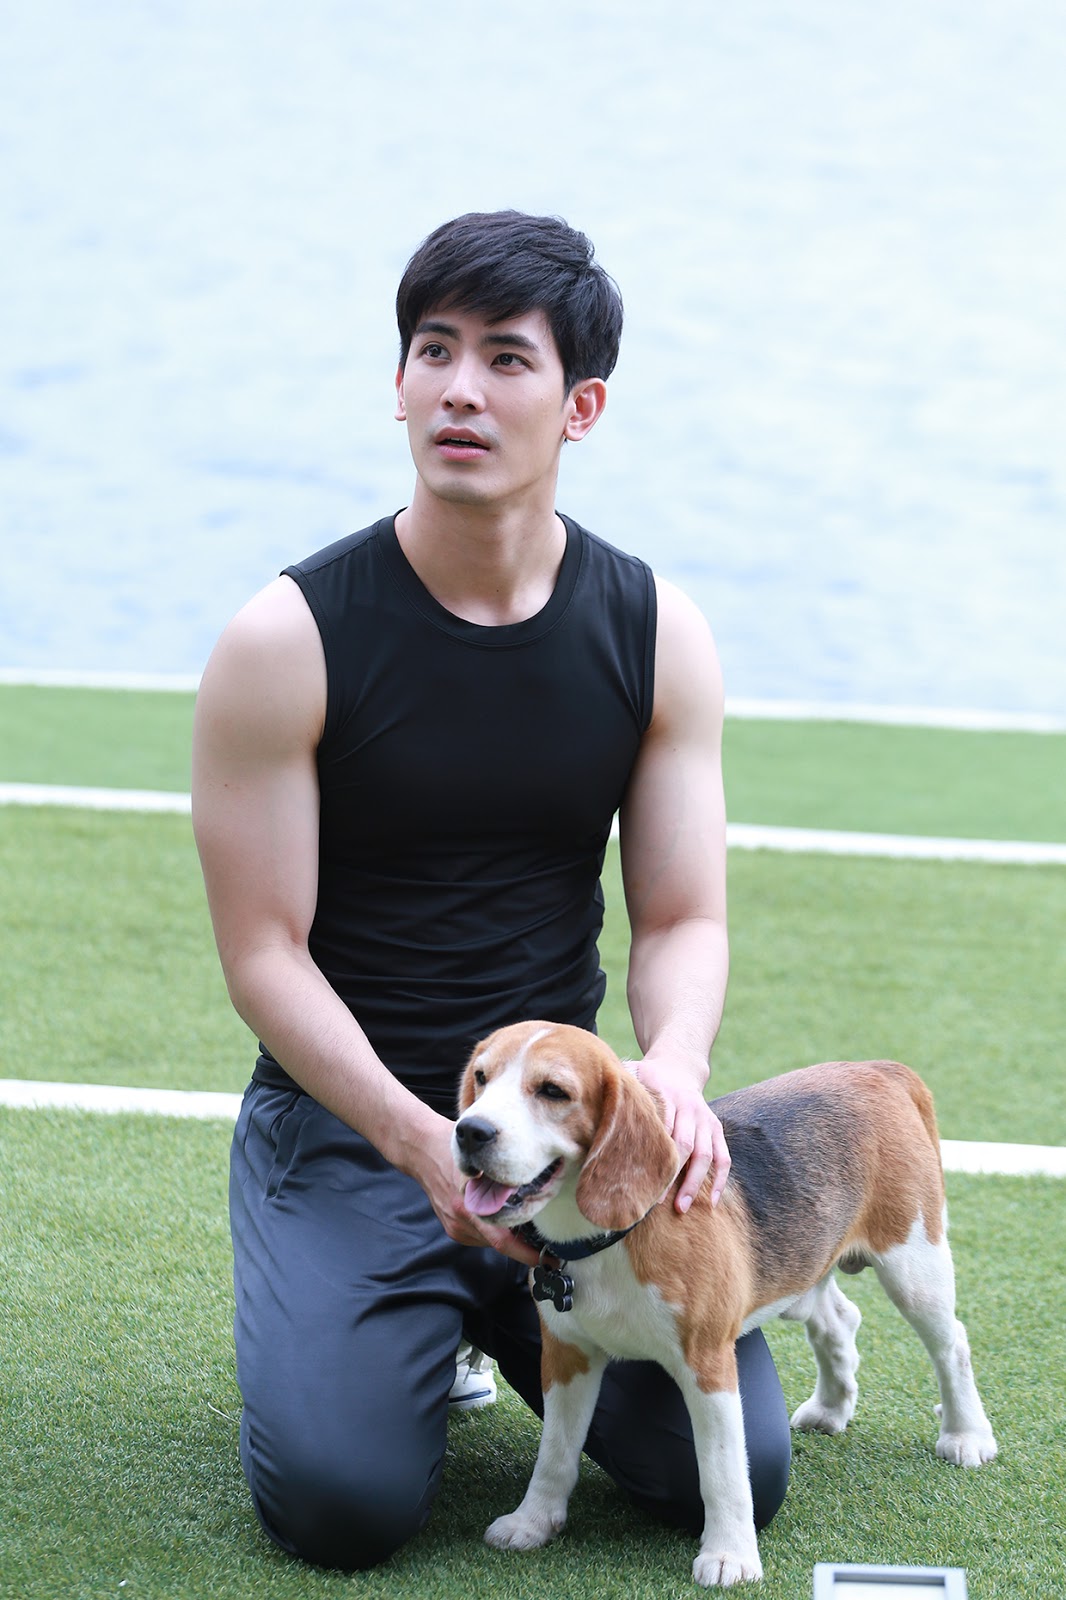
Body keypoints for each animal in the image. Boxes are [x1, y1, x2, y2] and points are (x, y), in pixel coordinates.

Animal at [452, 1021, 997, 1589]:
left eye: (553, 1091)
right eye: (482, 1078)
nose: (470, 1131)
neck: (609, 1237)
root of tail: (879, 1069)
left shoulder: (708, 1363)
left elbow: (721, 1470)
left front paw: (730, 1556)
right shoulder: (565, 1356)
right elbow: (555, 1452)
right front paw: (533, 1522)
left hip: (914, 1264)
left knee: (952, 1345)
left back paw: (966, 1434)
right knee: (838, 1320)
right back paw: (831, 1407)